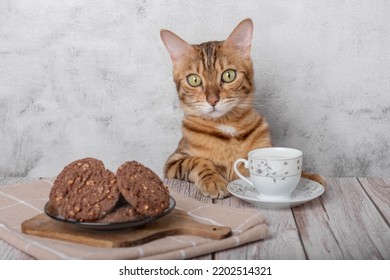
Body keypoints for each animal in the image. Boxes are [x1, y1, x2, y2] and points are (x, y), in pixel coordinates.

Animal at [160, 18, 324, 198]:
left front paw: (308, 177)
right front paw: (213, 180)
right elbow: (197, 161)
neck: (227, 125)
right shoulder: (172, 163)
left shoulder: (264, 149)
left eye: (228, 75)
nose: (213, 100)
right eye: (194, 80)